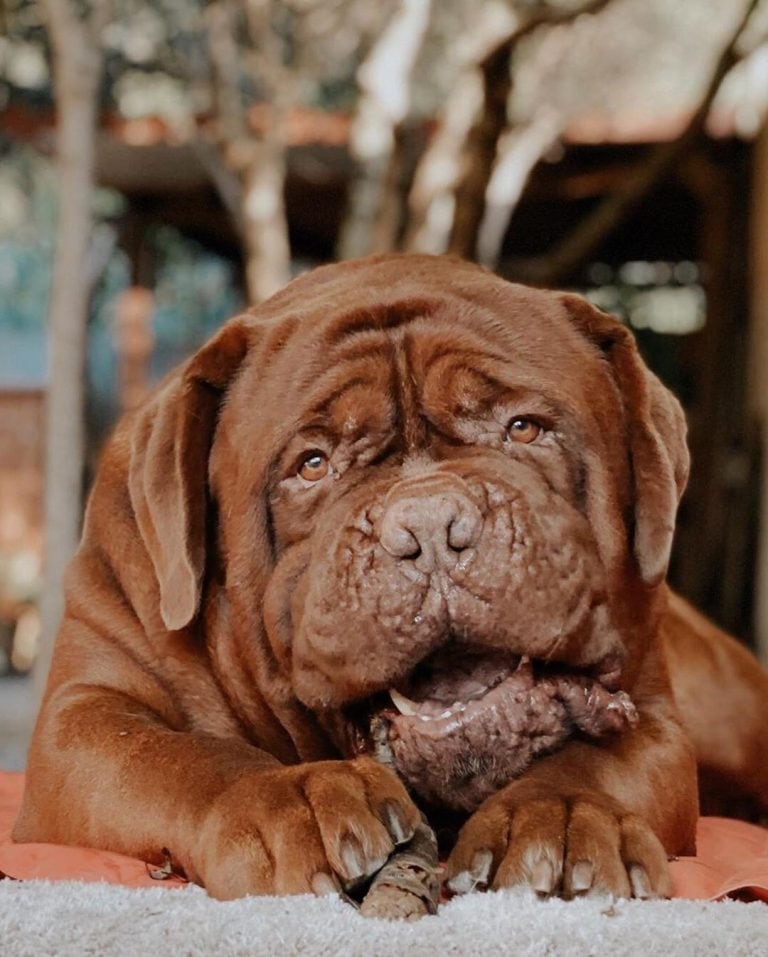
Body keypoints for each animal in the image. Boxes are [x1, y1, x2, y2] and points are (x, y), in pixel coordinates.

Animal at [13, 252, 768, 896]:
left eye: (523, 427)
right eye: (312, 464)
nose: (430, 524)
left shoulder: (656, 718)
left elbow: (598, 761)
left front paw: (560, 820)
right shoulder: (80, 719)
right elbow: (181, 757)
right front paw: (296, 802)